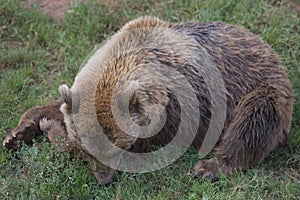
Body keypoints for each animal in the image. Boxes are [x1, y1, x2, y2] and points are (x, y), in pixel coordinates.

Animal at [2, 16, 292, 184]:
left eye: (115, 150)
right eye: (90, 150)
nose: (105, 180)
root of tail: (272, 53)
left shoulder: (179, 111)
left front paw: (51, 130)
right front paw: (21, 131)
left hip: (261, 90)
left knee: (253, 121)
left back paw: (211, 166)